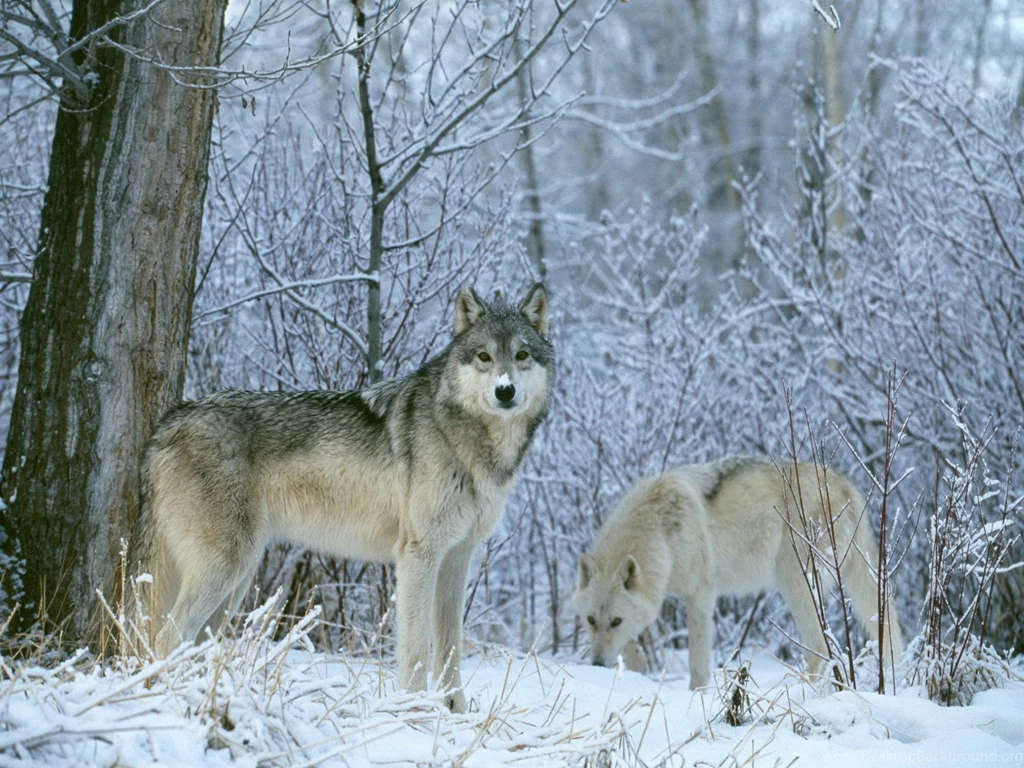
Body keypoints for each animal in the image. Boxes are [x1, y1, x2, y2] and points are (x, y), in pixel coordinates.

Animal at [128, 284, 553, 712]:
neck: (469, 441)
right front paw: (413, 711)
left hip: (236, 582)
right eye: (484, 357)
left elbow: (450, 649)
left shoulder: (457, 558)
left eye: (521, 355)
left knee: (192, 644)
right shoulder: (418, 556)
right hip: (225, 570)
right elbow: (416, 649)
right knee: (165, 637)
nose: (504, 391)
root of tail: (168, 422)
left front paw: (454, 713)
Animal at [573, 457, 904, 689]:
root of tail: (844, 483)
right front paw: (637, 668)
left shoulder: (701, 595)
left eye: (615, 621)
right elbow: (632, 646)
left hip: (795, 584)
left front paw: (696, 696)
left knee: (819, 649)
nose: (597, 664)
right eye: (590, 620)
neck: (660, 532)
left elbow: (697, 664)